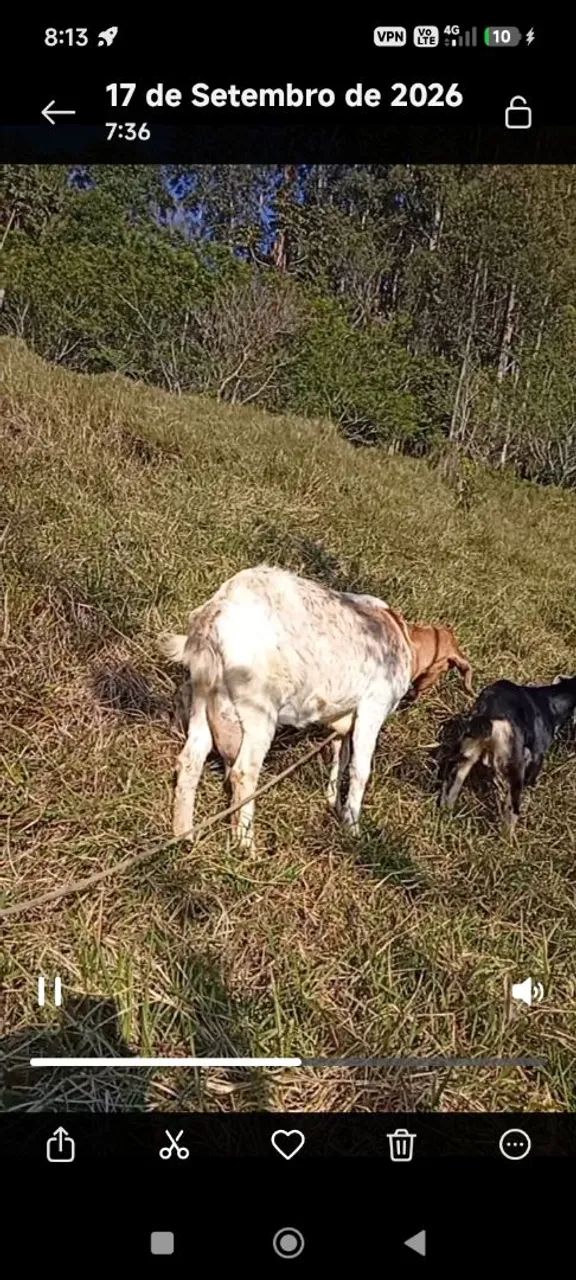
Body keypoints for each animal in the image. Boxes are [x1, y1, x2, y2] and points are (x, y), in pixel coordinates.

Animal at [160, 565, 472, 850]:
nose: (415, 696)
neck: (402, 637)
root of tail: (216, 612)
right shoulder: (373, 707)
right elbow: (360, 769)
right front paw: (353, 828)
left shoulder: (345, 718)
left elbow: (341, 757)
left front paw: (333, 803)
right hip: (257, 708)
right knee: (243, 771)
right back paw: (246, 845)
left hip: (203, 698)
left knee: (190, 760)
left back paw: (183, 836)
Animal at [440, 675, 576, 833]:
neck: (552, 703)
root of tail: (490, 715)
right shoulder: (537, 755)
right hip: (515, 768)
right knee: (513, 810)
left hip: (466, 755)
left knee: (451, 787)